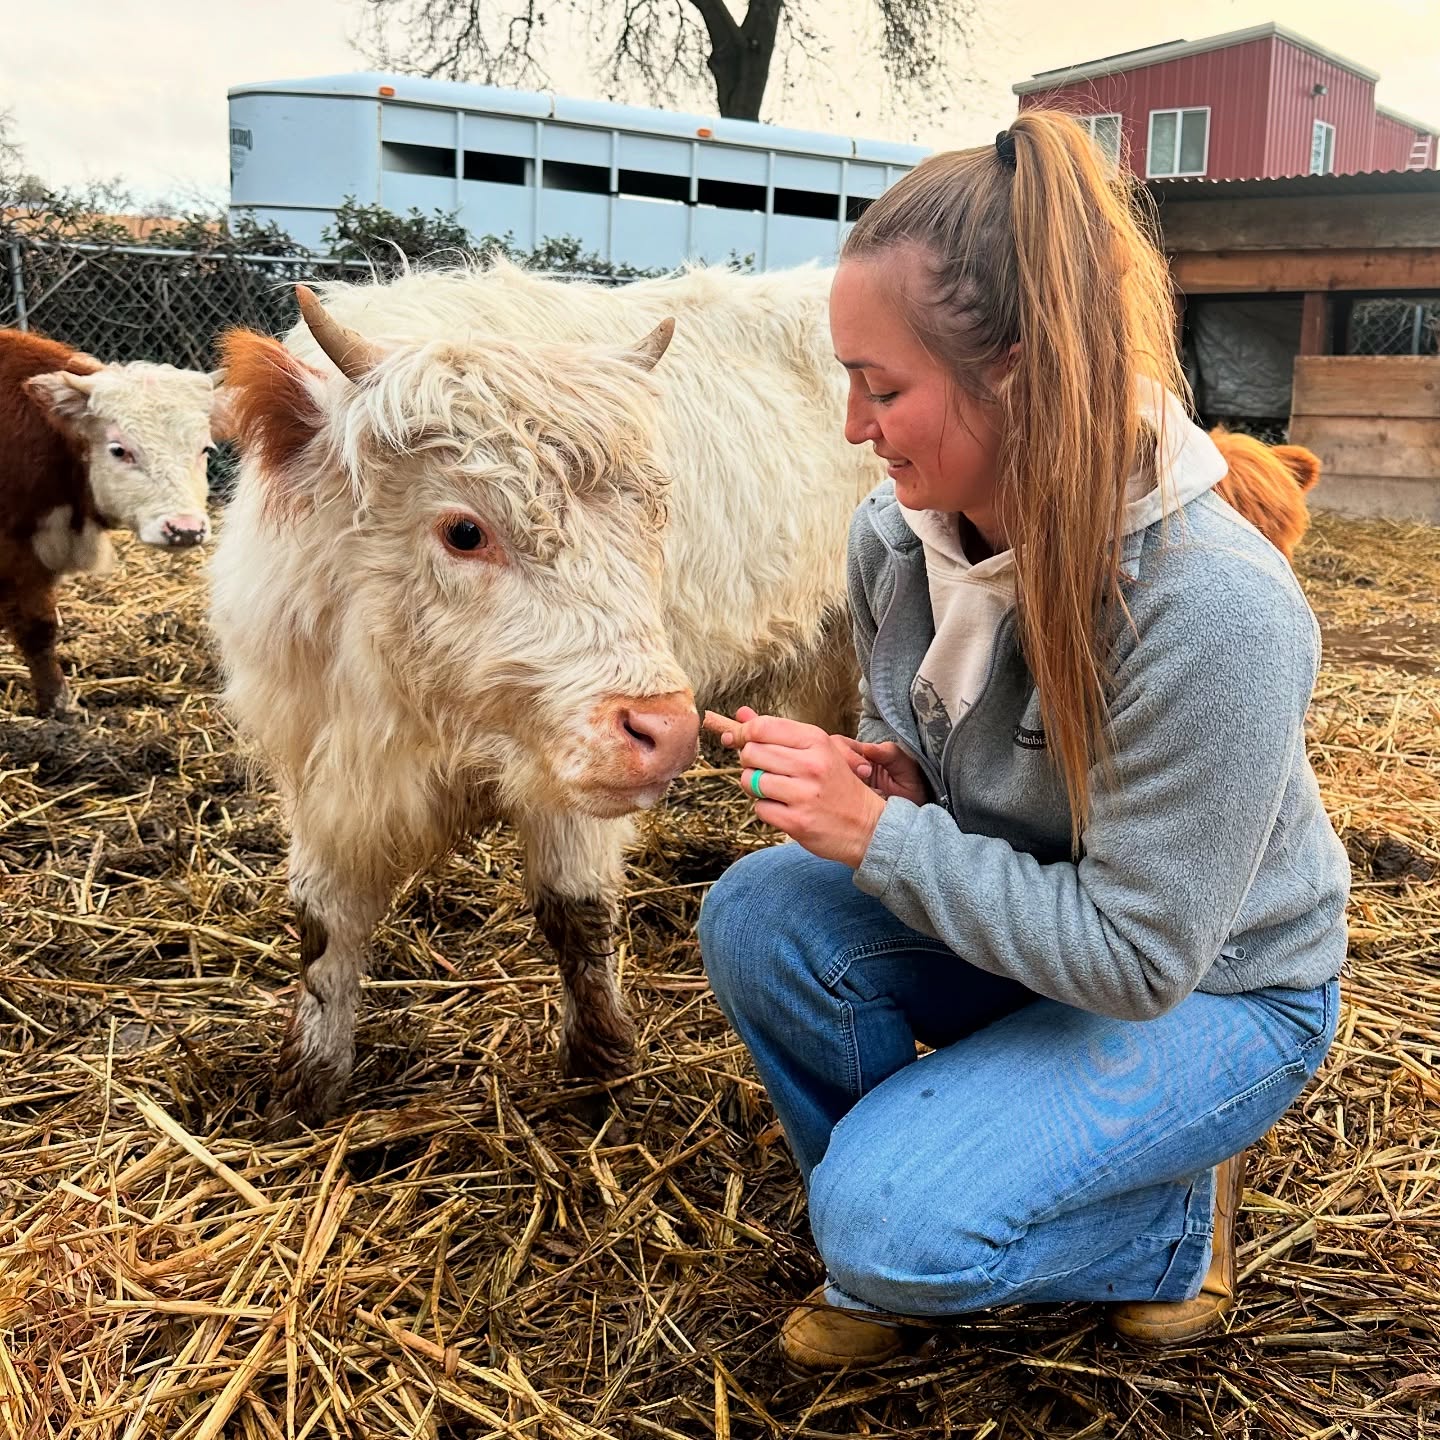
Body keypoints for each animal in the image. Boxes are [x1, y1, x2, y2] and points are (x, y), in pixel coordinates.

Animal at [1, 329, 226, 715]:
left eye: (205, 449)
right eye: (120, 450)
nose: (185, 529)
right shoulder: (16, 554)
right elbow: (38, 629)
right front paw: (59, 706)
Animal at [213, 262, 1321, 1130]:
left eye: (652, 519)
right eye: (462, 529)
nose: (661, 730)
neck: (422, 715)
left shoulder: (569, 795)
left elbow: (573, 912)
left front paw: (601, 1063)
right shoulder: (320, 768)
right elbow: (322, 927)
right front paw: (309, 1078)